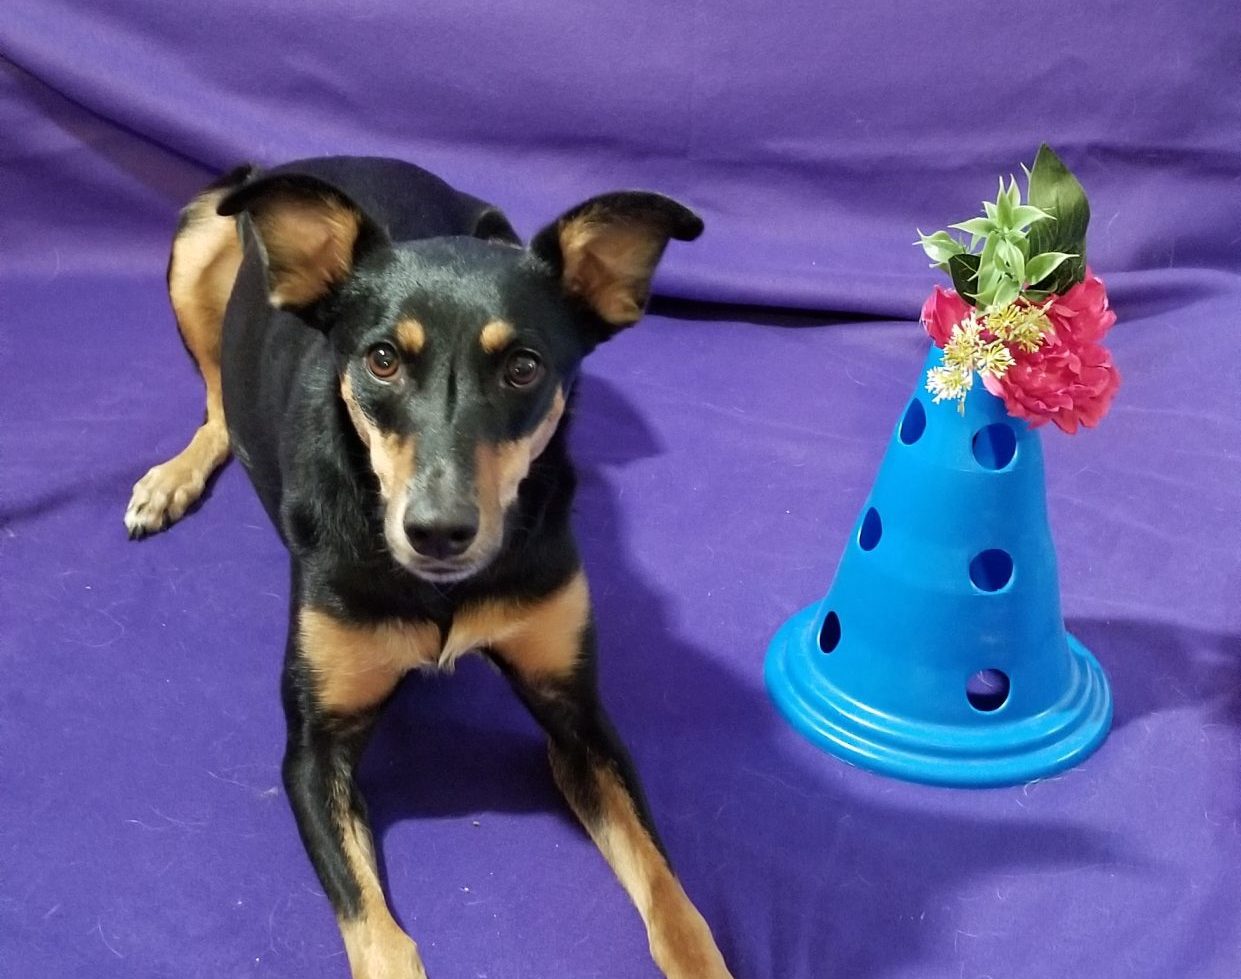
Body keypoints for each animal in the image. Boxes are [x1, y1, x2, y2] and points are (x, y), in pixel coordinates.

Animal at [125, 156, 729, 972]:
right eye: (381, 360)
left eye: (523, 367)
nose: (438, 532)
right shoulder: (313, 751)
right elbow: (377, 932)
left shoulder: (579, 718)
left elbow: (672, 898)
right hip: (198, 237)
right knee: (217, 401)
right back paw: (171, 479)